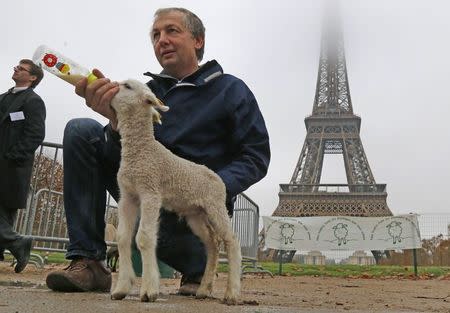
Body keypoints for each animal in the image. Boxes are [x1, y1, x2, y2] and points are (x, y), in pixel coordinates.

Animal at [109, 78, 243, 304]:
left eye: (127, 86)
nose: (109, 86)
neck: (141, 151)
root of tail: (216, 177)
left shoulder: (150, 191)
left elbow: (144, 237)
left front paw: (149, 291)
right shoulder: (128, 196)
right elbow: (122, 238)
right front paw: (121, 288)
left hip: (216, 205)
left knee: (231, 241)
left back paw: (232, 293)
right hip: (196, 214)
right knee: (213, 244)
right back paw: (203, 289)